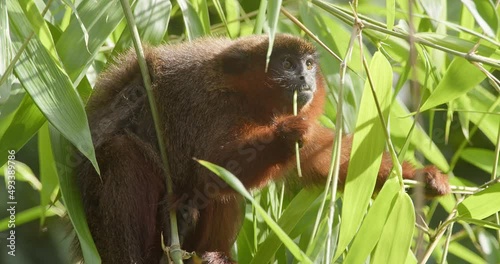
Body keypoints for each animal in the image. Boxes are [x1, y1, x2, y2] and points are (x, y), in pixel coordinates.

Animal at [73, 34, 450, 262]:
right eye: (286, 64)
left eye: (309, 64)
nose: (306, 79)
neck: (243, 96)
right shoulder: (206, 105)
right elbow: (208, 170)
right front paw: (284, 134)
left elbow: (331, 162)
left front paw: (423, 179)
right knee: (120, 153)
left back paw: (206, 249)